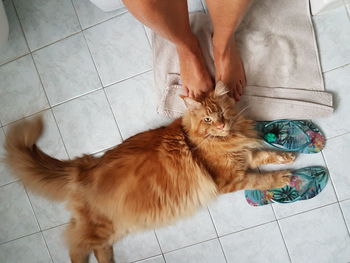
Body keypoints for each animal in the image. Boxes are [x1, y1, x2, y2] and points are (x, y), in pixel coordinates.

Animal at [5, 82, 296, 263]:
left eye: (222, 113)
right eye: (208, 119)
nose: (221, 125)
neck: (228, 138)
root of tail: (83, 165)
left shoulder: (246, 156)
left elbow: (267, 154)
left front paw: (289, 156)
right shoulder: (231, 178)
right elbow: (262, 177)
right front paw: (285, 176)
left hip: (114, 229)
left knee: (96, 248)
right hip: (100, 228)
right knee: (75, 247)